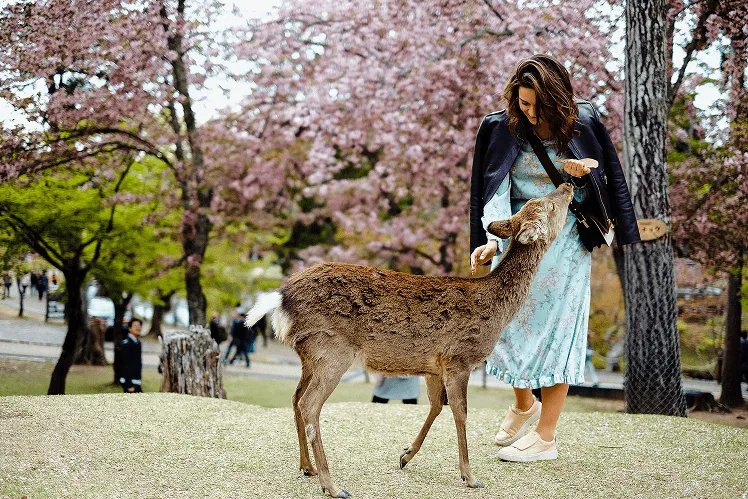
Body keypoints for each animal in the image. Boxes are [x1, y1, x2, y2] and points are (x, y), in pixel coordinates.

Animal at [245, 183, 574, 498]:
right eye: (549, 205)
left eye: (537, 202)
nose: (568, 185)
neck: (497, 310)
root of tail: (281, 297)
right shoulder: (460, 358)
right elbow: (460, 412)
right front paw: (470, 477)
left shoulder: (434, 365)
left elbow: (436, 406)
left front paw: (405, 455)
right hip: (332, 351)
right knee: (310, 405)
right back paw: (333, 486)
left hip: (309, 355)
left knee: (295, 397)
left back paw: (308, 467)